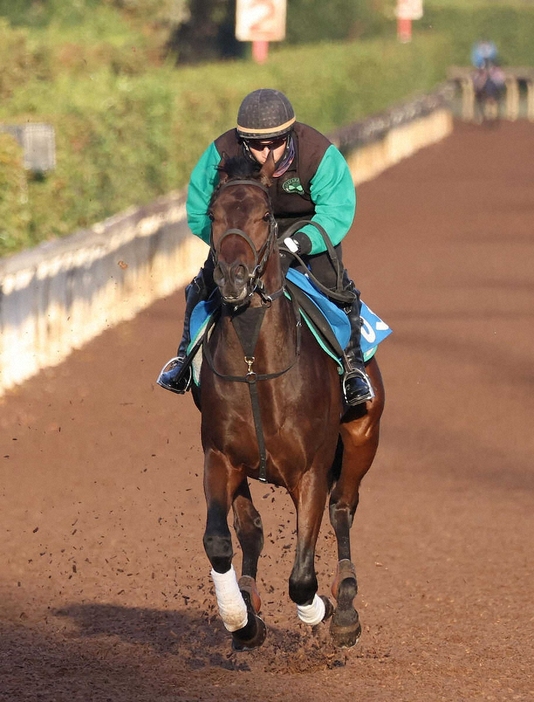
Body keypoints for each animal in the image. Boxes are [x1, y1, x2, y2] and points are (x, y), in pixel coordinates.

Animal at [193, 154, 386, 656]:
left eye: (265, 216)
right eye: (214, 216)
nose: (234, 278)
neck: (254, 366)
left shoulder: (311, 471)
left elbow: (302, 577)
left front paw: (323, 611)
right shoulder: (220, 456)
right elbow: (221, 541)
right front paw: (242, 622)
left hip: (362, 436)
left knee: (343, 509)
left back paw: (346, 605)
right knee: (251, 531)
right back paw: (248, 599)